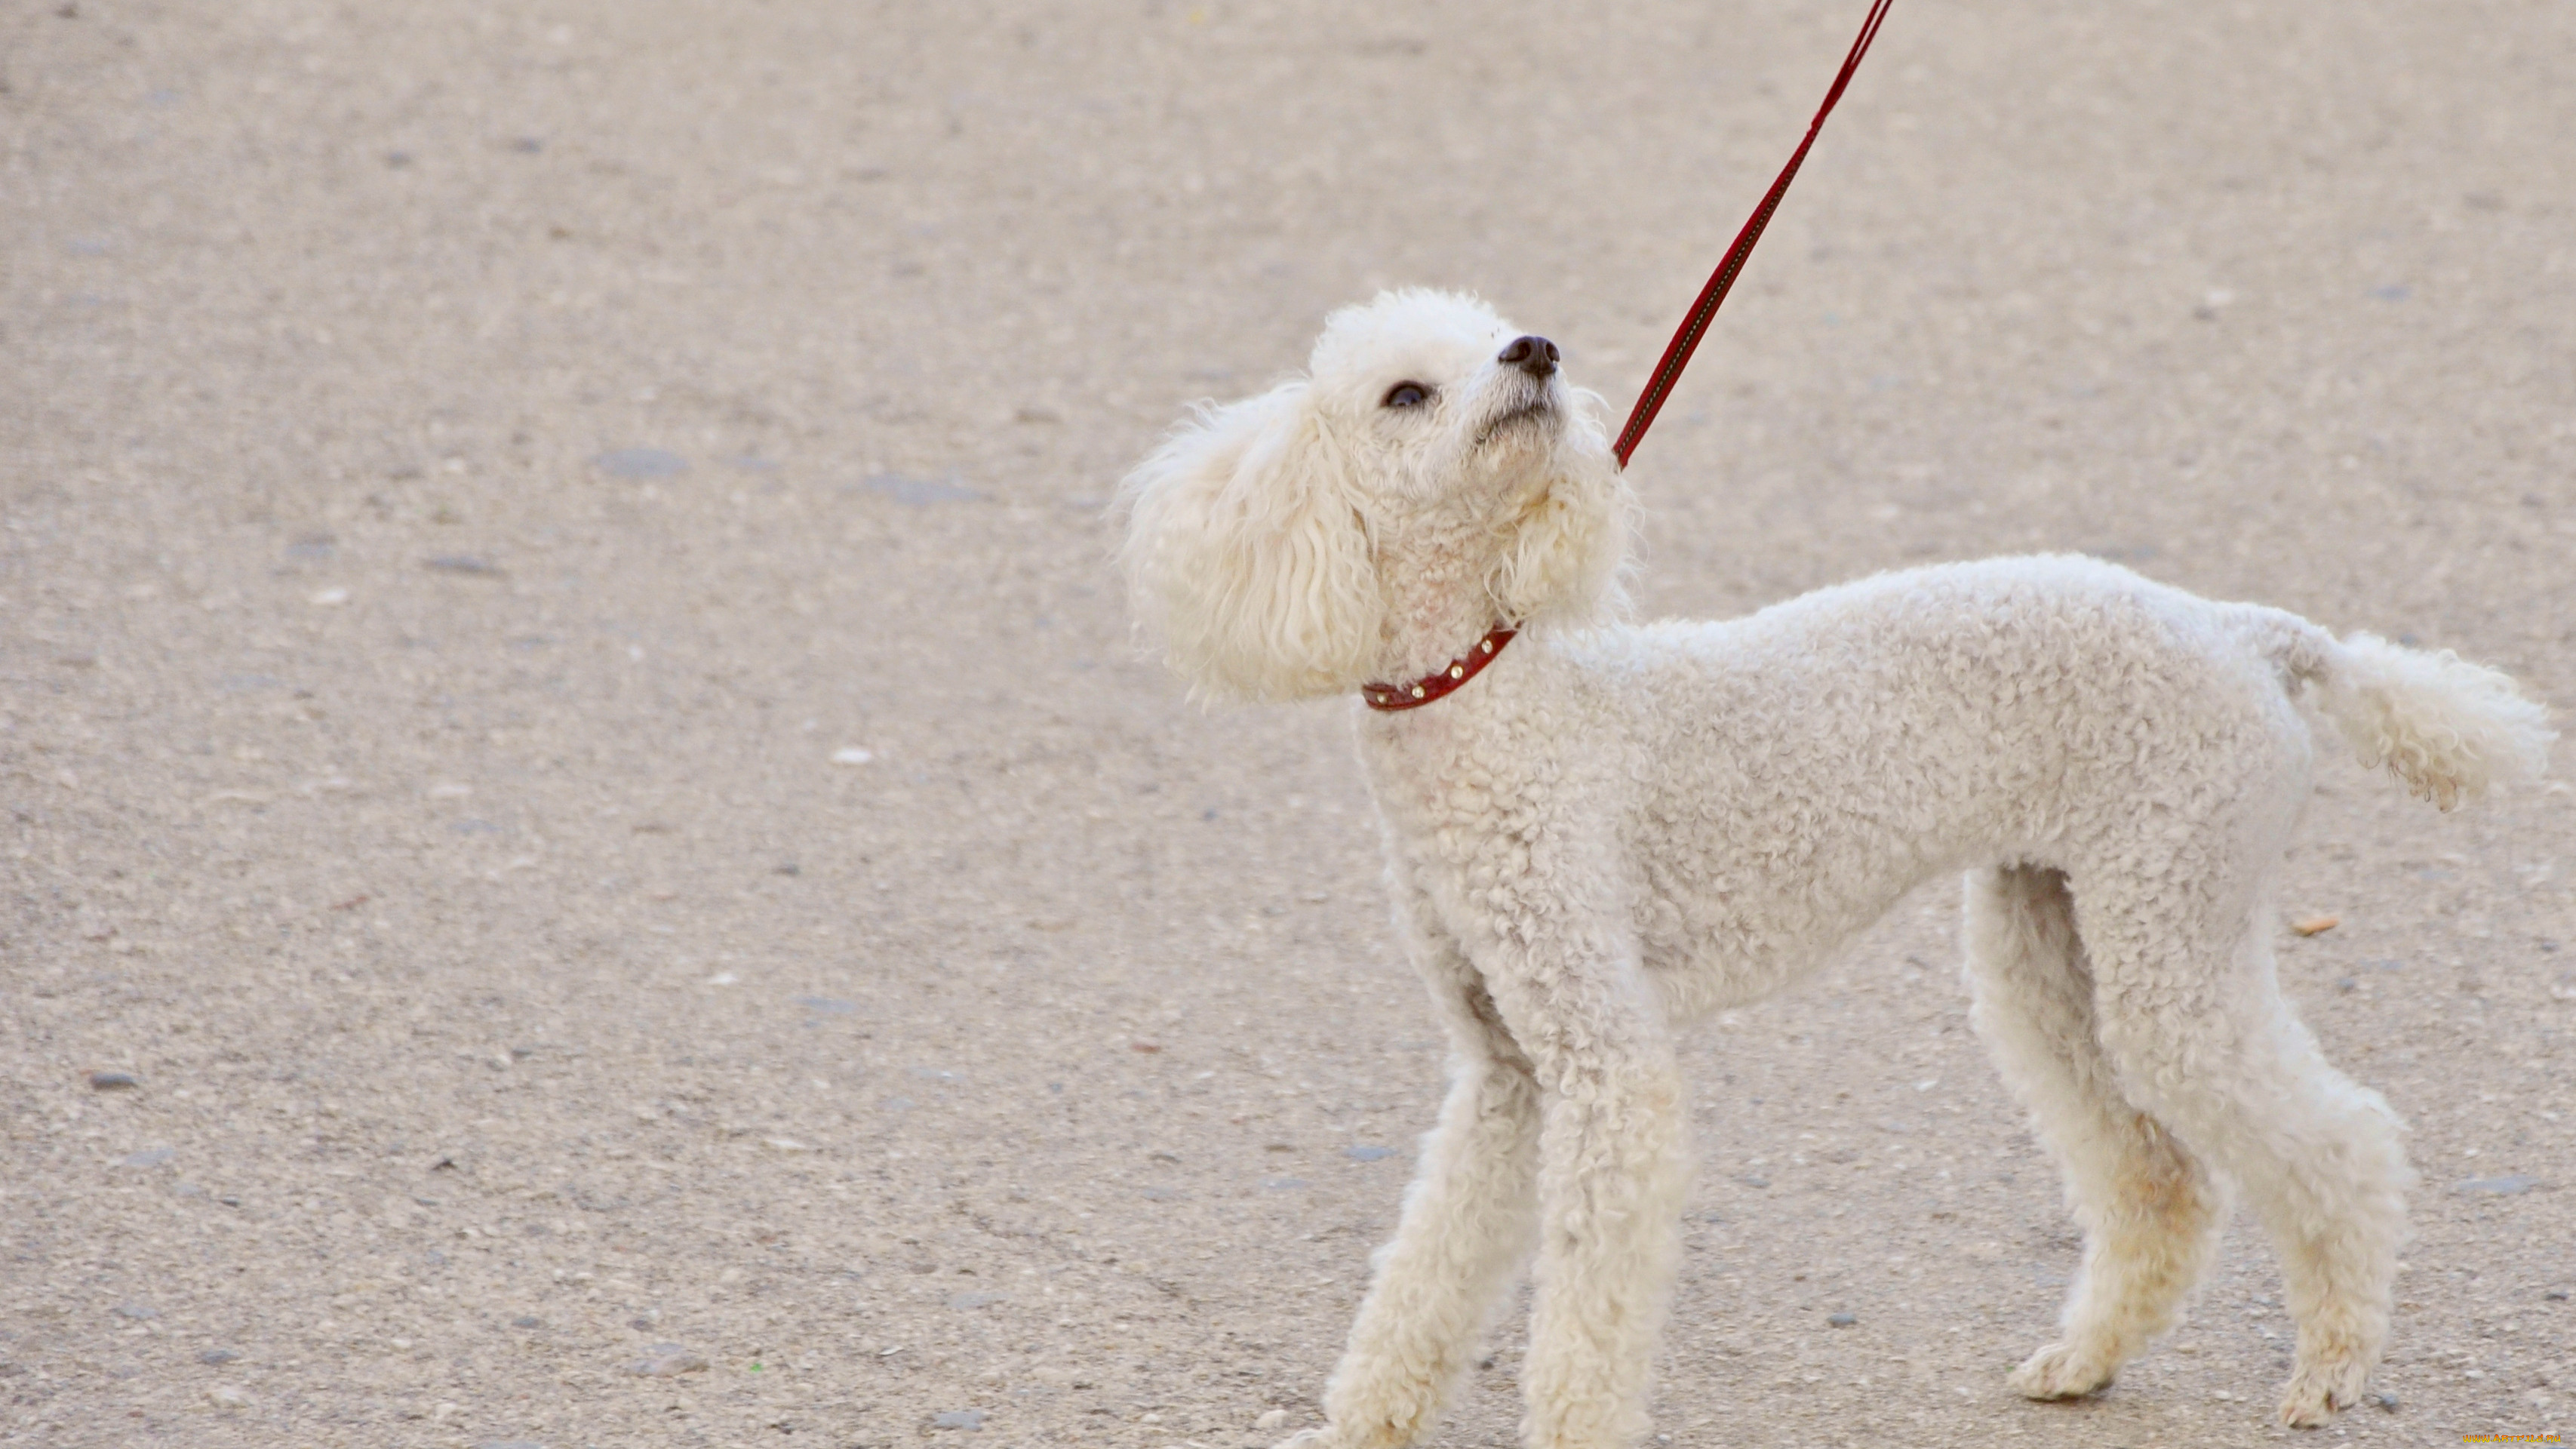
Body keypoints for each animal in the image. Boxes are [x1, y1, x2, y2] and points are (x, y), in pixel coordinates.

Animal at [1112, 287, 2555, 1433]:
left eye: (1492, 339)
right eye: (1406, 392)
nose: (1535, 350)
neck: (1491, 695)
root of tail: (2247, 633)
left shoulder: (1604, 1063)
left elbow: (1582, 1305)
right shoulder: (1507, 1069)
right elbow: (1426, 1266)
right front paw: (1363, 1421)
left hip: (2173, 929)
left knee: (2341, 1141)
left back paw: (2331, 1369)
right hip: (2048, 942)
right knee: (2154, 1177)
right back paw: (2083, 1362)